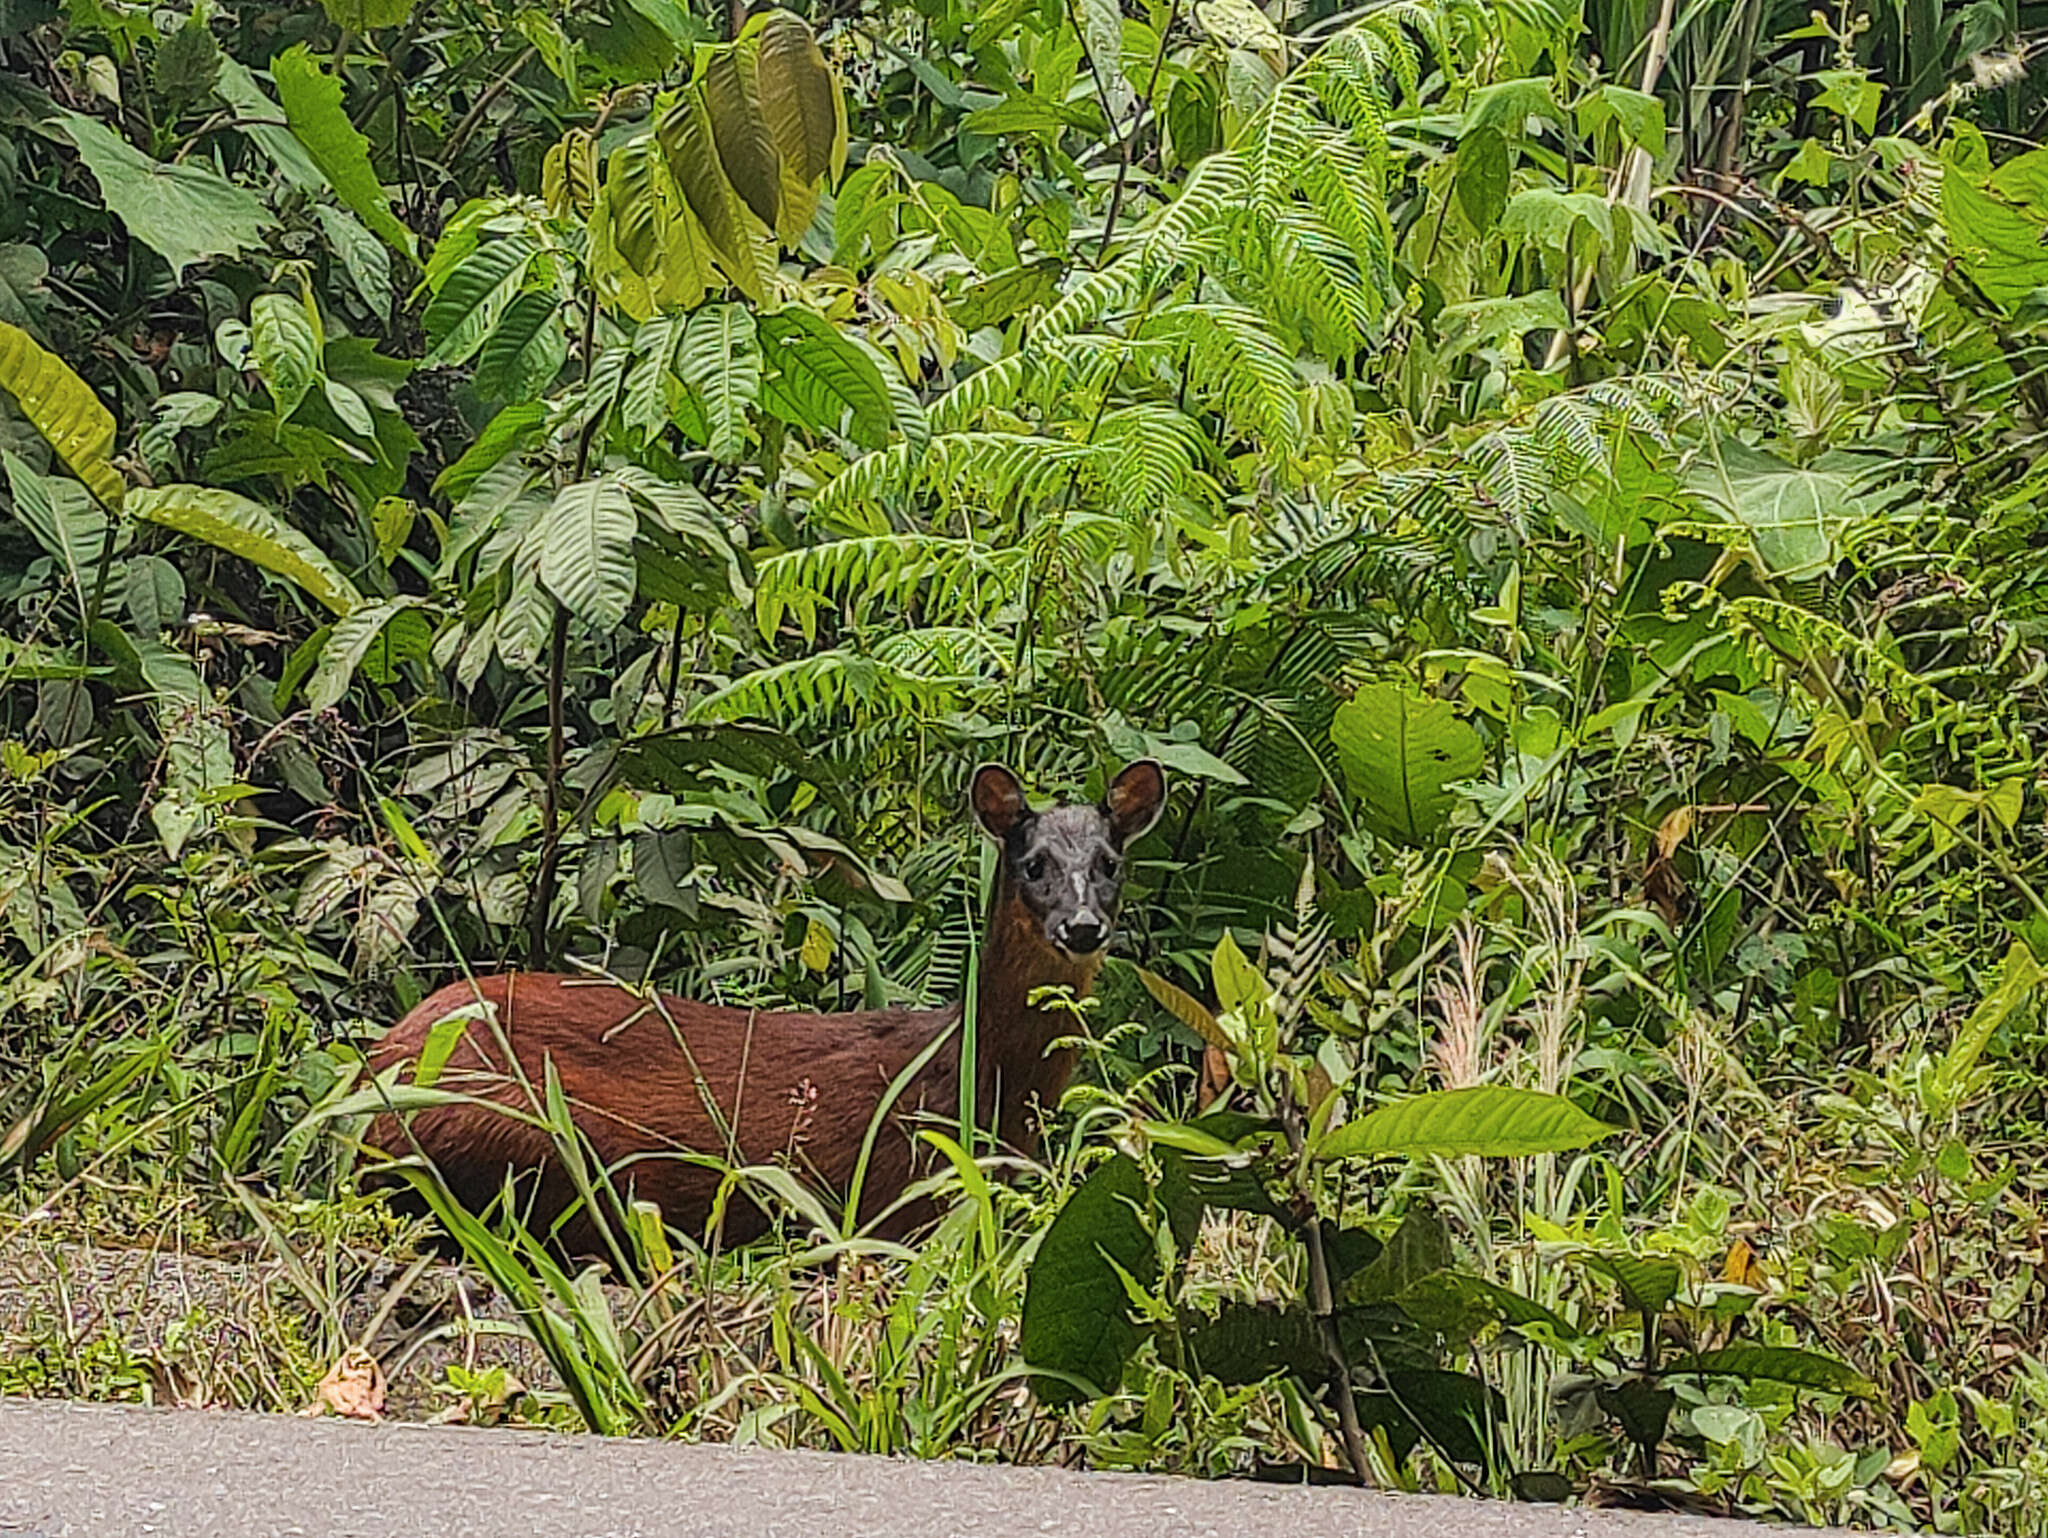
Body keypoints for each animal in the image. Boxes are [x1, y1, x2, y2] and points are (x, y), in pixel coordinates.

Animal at [364, 765, 1171, 1253]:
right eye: (1033, 864)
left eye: (1111, 863)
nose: (1083, 926)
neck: (971, 1080)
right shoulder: (895, 1198)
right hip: (537, 1136)